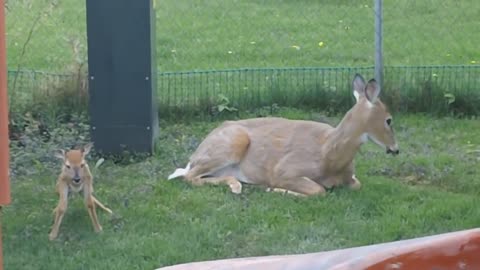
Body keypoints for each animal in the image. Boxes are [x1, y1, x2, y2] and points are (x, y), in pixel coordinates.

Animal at [167, 74, 400, 196]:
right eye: (389, 120)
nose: (396, 149)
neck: (329, 155)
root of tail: (194, 156)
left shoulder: (351, 177)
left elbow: (355, 184)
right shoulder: (285, 170)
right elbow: (318, 190)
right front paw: (275, 189)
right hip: (231, 142)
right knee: (189, 176)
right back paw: (238, 186)